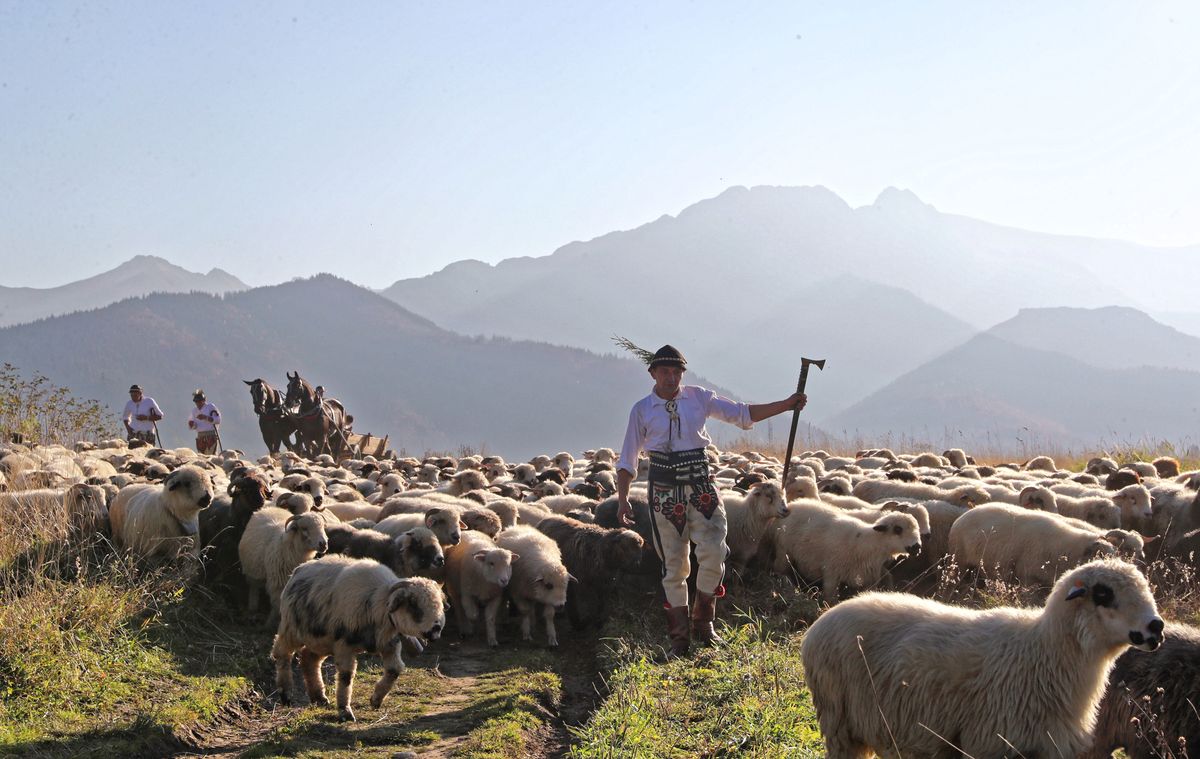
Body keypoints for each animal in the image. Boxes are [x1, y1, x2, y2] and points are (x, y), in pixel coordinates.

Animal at [272, 557, 446, 725]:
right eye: (413, 604)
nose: (436, 629)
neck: (377, 602)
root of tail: (299, 569)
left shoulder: (389, 643)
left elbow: (394, 670)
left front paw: (375, 700)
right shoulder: (344, 646)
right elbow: (346, 676)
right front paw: (345, 712)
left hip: (320, 639)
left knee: (309, 660)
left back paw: (320, 698)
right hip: (291, 629)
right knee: (282, 654)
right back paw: (286, 694)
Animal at [801, 557, 1166, 758]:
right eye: (1104, 594)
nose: (1156, 627)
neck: (1043, 651)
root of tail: (821, 622)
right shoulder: (989, 742)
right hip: (839, 723)